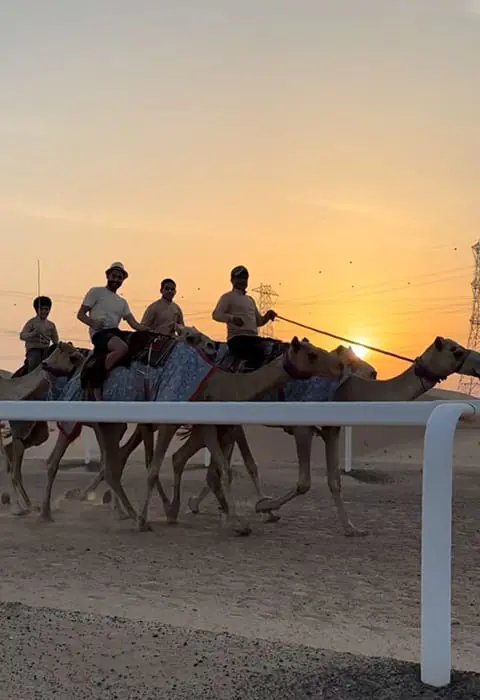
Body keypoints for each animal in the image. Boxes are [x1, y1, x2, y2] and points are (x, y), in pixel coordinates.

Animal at [41, 336, 344, 535]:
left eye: (318, 349)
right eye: (312, 354)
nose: (339, 366)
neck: (217, 383)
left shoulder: (207, 423)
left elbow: (222, 468)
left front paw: (239, 521)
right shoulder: (171, 415)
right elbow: (154, 469)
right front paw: (152, 518)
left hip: (110, 424)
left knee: (113, 465)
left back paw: (127, 511)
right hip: (84, 415)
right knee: (62, 459)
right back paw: (48, 512)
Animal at [166, 337, 480, 536]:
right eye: (455, 350)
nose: (476, 360)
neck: (348, 390)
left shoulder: (332, 429)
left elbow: (334, 481)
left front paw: (351, 528)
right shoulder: (303, 428)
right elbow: (304, 482)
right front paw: (264, 505)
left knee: (212, 464)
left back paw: (204, 507)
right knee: (196, 458)